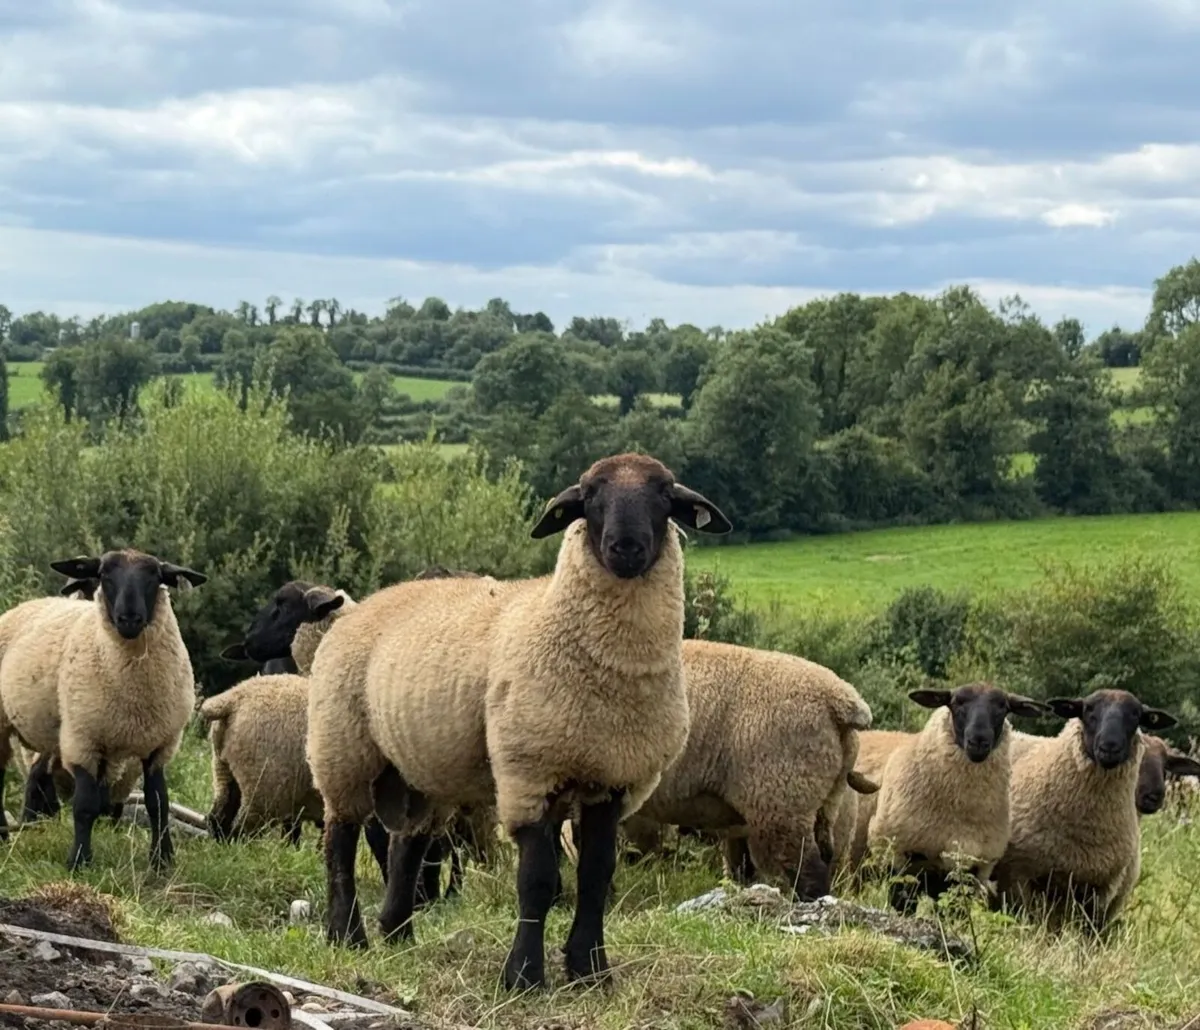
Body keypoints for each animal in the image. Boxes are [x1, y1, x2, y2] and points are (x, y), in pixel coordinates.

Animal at [2, 548, 205, 870]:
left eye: (155, 576)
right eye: (104, 574)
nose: (129, 618)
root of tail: (29, 603)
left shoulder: (161, 745)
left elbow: (158, 802)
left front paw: (162, 859)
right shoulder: (82, 740)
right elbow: (84, 806)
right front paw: (79, 861)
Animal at [305, 452, 731, 991]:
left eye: (663, 493)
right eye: (590, 495)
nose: (626, 547)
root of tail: (368, 602)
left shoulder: (611, 779)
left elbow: (596, 875)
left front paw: (590, 971)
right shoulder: (529, 772)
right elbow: (538, 880)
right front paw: (523, 975)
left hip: (423, 767)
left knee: (409, 843)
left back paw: (398, 932)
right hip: (343, 747)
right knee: (339, 839)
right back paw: (347, 935)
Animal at [865, 684, 1049, 913]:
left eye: (1003, 707)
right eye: (956, 703)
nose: (978, 741)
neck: (959, 811)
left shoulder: (971, 867)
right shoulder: (898, 854)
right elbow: (902, 904)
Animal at [991, 689, 1177, 931]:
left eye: (1136, 715)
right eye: (1088, 709)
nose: (1109, 746)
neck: (1088, 829)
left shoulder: (1100, 891)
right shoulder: (1017, 874)